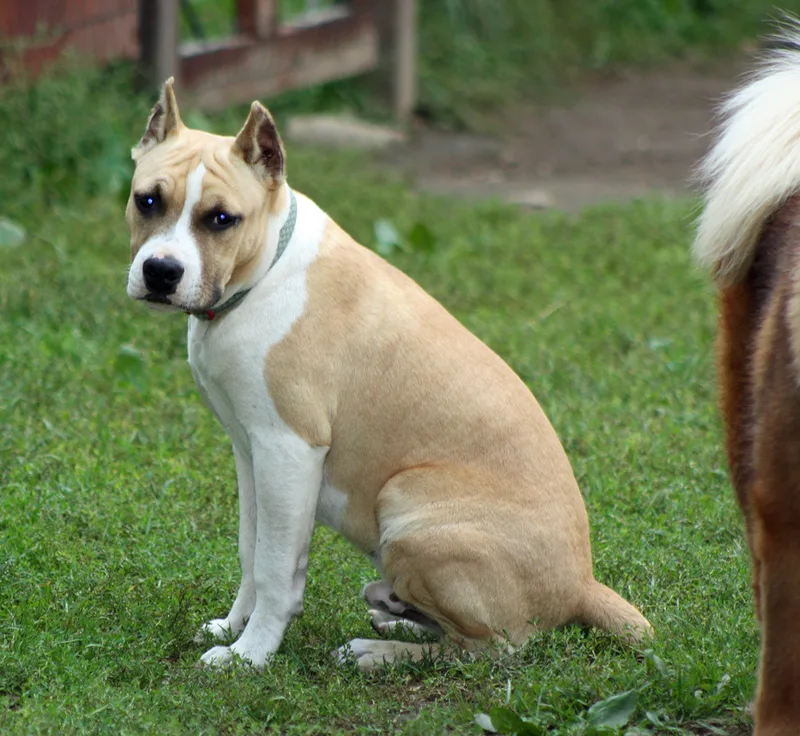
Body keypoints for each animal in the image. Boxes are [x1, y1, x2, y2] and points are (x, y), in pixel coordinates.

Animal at [125, 79, 652, 671]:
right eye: (148, 200)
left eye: (221, 219)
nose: (161, 272)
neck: (262, 275)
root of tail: (582, 586)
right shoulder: (250, 450)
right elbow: (250, 550)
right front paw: (232, 628)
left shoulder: (289, 450)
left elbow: (275, 566)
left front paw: (250, 655)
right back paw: (393, 614)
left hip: (407, 501)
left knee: (490, 648)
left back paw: (375, 652)